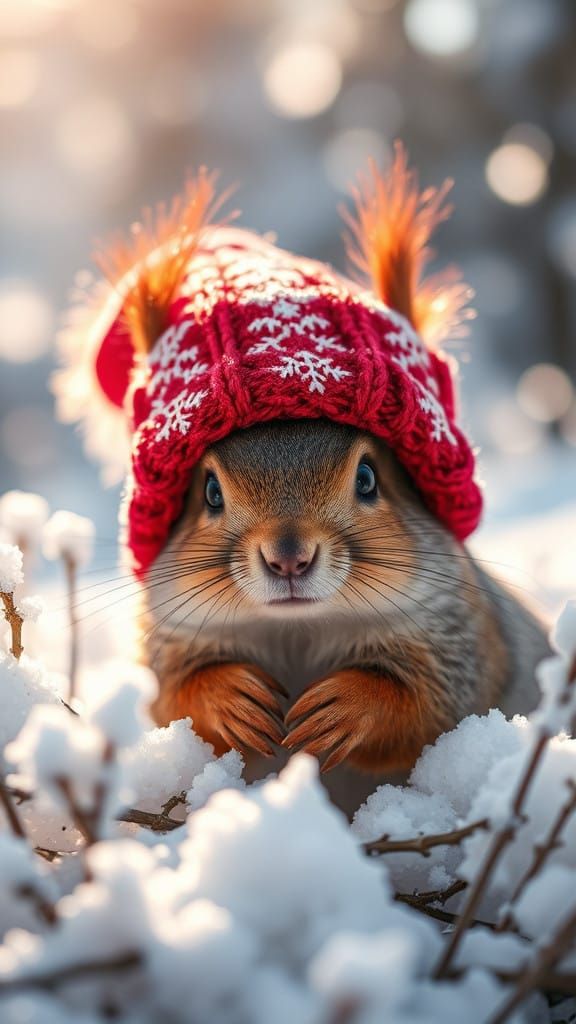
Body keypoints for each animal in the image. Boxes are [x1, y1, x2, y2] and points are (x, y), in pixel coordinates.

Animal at [55, 146, 550, 812]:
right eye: (209, 492)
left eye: (368, 477)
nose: (288, 556)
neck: (298, 632)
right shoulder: (169, 642)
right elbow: (173, 699)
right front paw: (229, 699)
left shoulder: (465, 639)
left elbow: (431, 703)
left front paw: (347, 707)